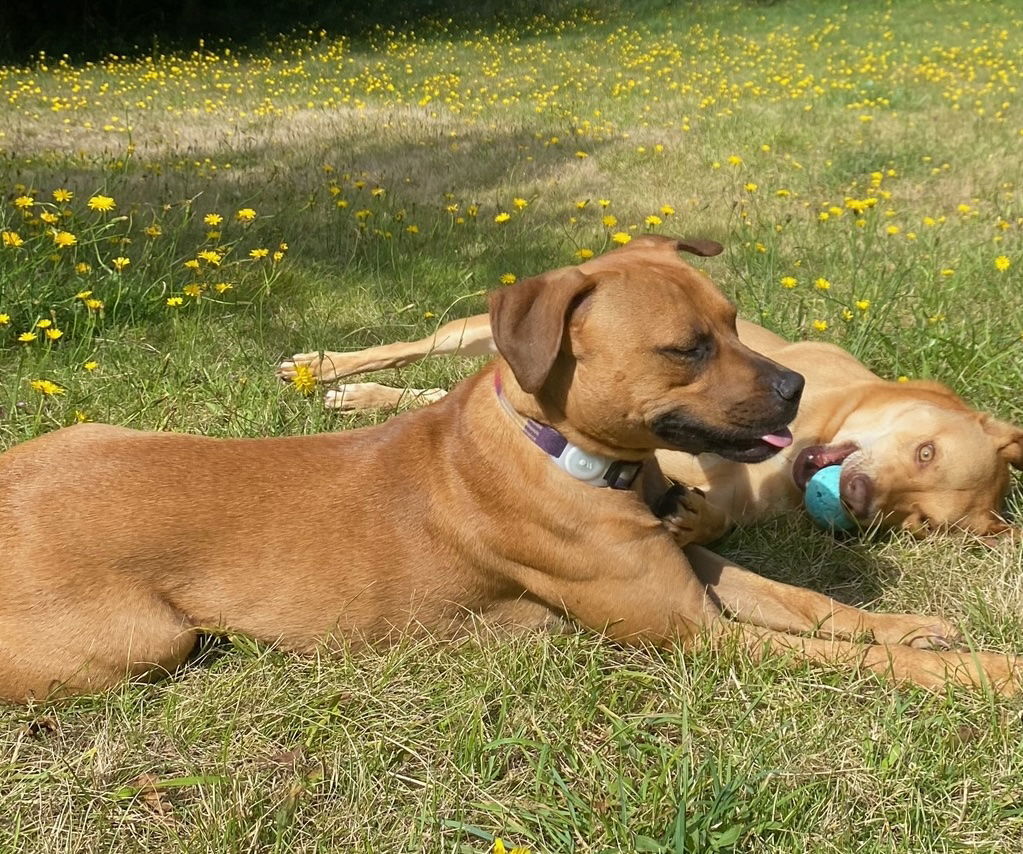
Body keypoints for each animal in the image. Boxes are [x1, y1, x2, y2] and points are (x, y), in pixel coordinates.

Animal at [280, 252, 1023, 540]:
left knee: (432, 393)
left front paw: (697, 519)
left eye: (911, 523)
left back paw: (359, 398)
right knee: (410, 349)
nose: (860, 501)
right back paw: (324, 368)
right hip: (468, 332)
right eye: (925, 451)